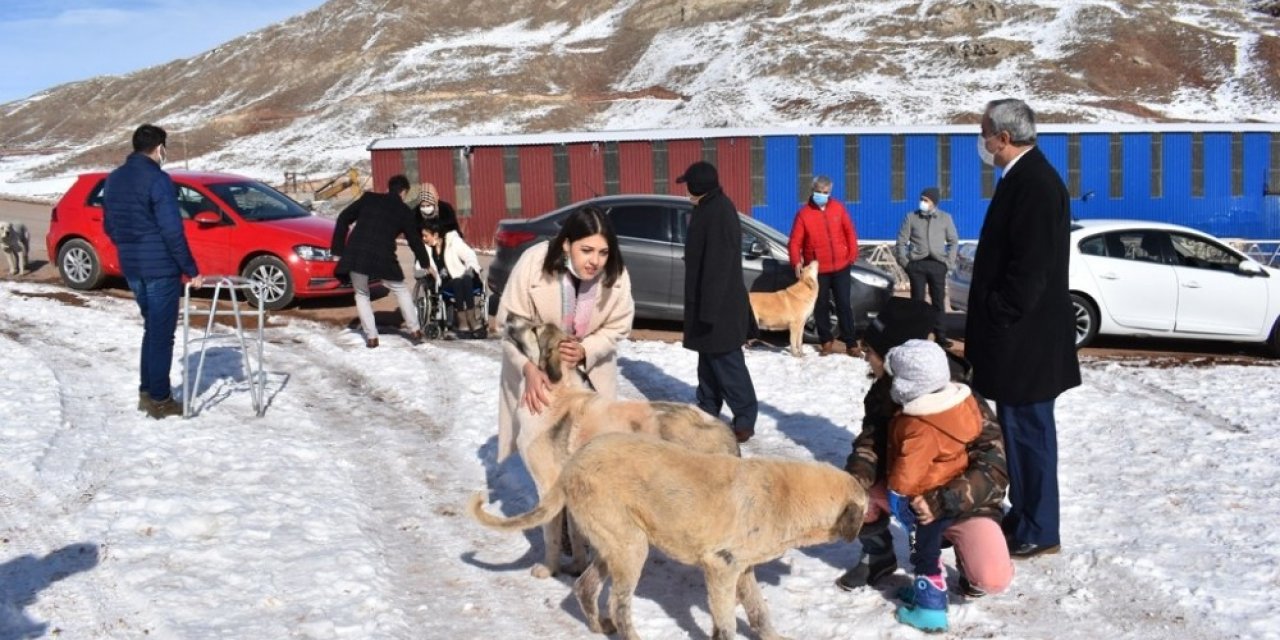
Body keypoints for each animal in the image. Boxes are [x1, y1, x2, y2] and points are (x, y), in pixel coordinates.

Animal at [471, 432, 870, 640]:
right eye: (866, 511)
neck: (787, 494)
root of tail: (573, 463)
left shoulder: (742, 570)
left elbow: (759, 612)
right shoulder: (721, 568)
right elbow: (727, 623)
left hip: (615, 545)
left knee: (585, 588)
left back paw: (601, 626)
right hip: (632, 548)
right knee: (618, 603)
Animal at [501, 317, 742, 578]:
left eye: (534, 329)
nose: (509, 317)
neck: (557, 391)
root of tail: (723, 429)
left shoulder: (546, 485)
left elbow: (551, 536)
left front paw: (547, 569)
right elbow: (576, 533)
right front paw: (577, 566)